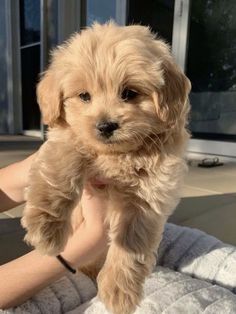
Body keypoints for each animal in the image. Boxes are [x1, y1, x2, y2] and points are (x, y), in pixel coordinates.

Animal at [22, 21, 191, 314]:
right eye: (84, 96)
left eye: (129, 93)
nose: (105, 126)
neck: (116, 156)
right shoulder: (65, 140)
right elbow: (60, 169)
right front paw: (46, 229)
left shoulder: (153, 190)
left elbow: (132, 238)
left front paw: (118, 292)